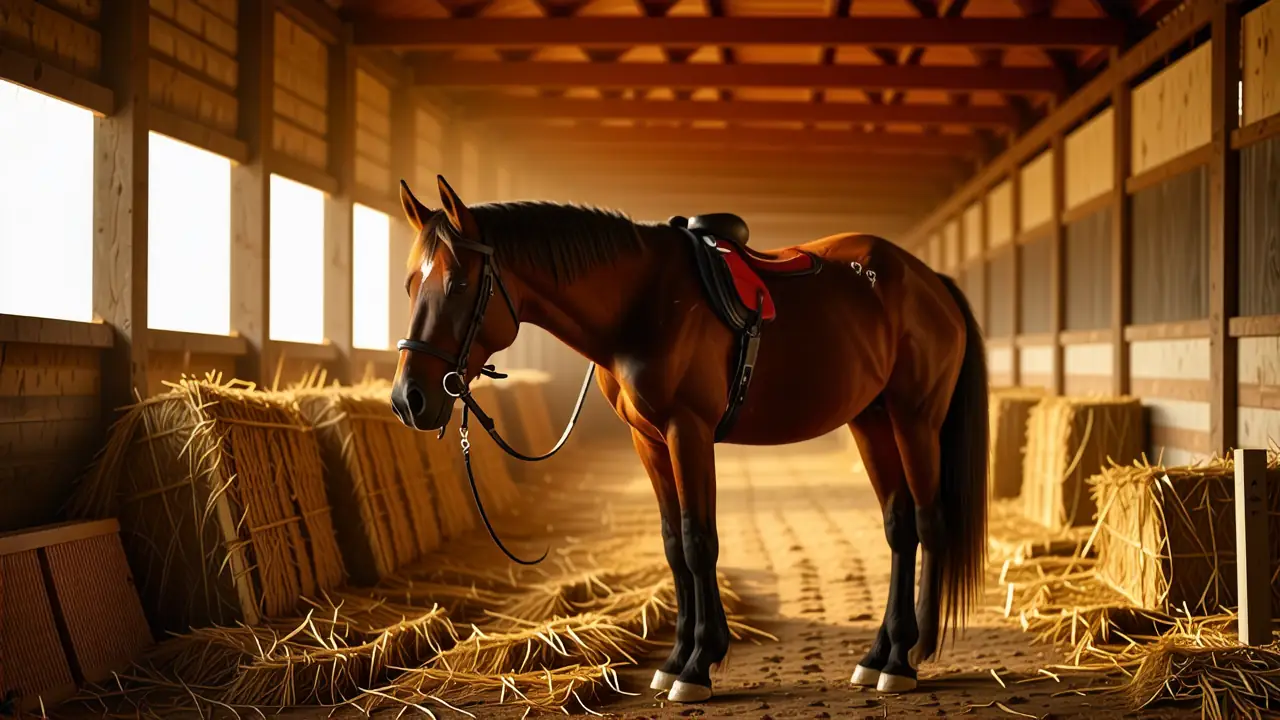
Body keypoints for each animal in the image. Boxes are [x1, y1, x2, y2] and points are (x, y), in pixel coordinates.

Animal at [389, 175, 989, 704]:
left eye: (457, 284)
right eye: (411, 284)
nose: (407, 399)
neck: (641, 301)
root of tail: (929, 279)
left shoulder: (689, 431)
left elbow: (701, 541)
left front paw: (699, 666)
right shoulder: (650, 441)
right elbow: (674, 545)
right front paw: (677, 660)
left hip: (915, 419)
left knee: (929, 522)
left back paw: (907, 658)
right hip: (872, 421)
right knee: (899, 527)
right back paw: (880, 655)